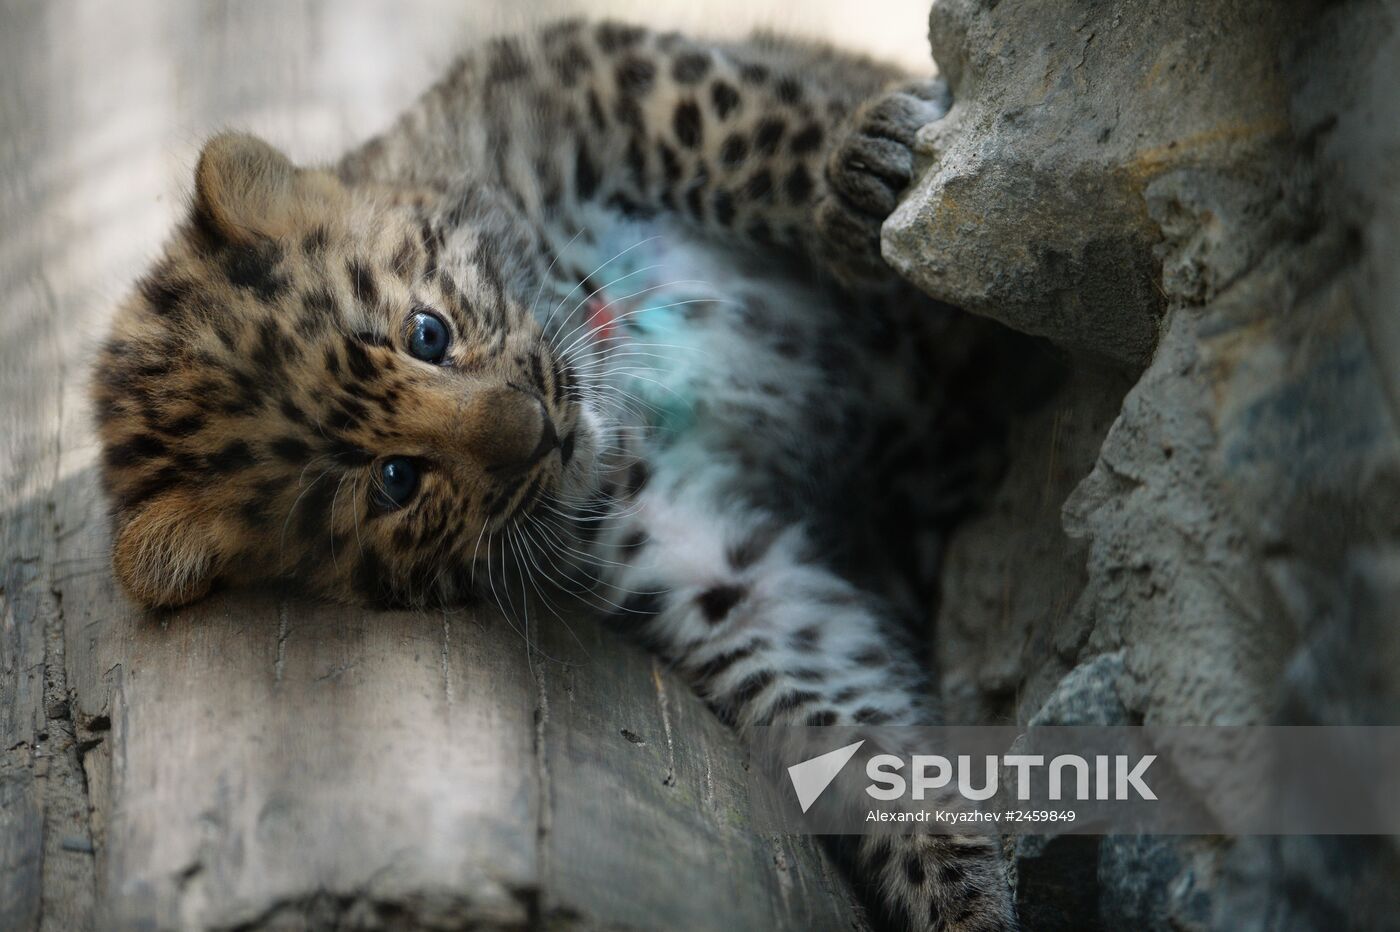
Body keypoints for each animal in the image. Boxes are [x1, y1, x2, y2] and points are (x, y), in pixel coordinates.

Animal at [91, 19, 1020, 931]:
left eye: (426, 332)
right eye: (395, 480)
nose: (538, 431)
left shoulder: (587, 83)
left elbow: (737, 134)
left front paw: (855, 169)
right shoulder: (713, 571)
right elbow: (842, 718)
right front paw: (962, 891)